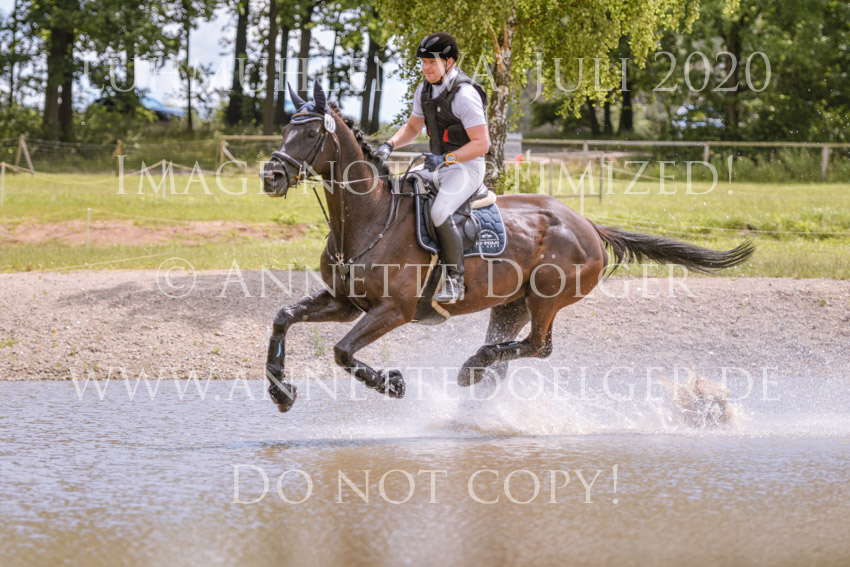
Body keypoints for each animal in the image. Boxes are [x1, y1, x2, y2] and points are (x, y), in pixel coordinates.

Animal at [260, 81, 754, 413]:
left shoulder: (392, 310)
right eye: (285, 129)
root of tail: (588, 225)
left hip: (547, 296)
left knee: (538, 346)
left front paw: (393, 384)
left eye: (310, 135)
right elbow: (283, 317)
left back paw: (472, 366)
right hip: (510, 302)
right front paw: (280, 392)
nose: (271, 176)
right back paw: (477, 383)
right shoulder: (346, 302)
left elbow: (343, 352)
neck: (368, 220)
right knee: (511, 351)